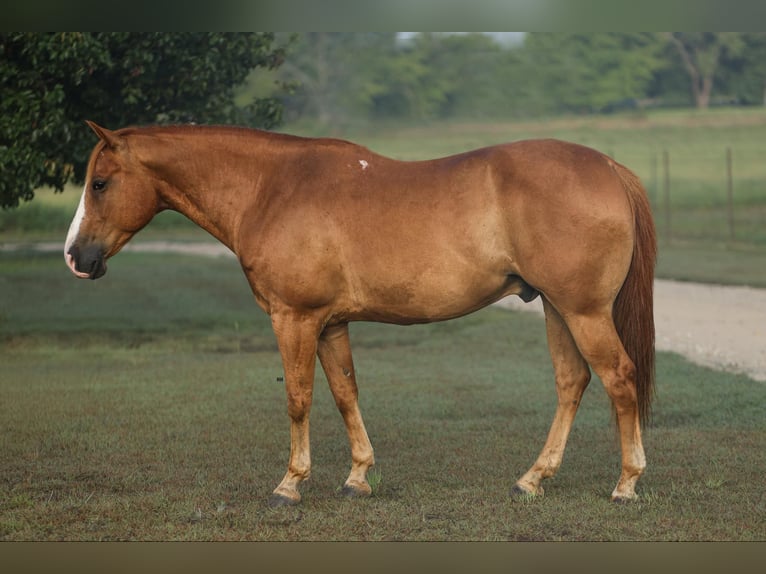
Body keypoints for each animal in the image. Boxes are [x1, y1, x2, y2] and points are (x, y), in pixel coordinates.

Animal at [65, 121, 656, 505]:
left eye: (99, 183)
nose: (76, 257)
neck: (272, 189)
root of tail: (608, 167)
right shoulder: (330, 324)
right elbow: (345, 392)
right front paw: (357, 478)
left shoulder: (295, 318)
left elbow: (298, 398)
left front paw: (290, 484)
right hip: (558, 309)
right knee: (572, 381)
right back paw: (533, 478)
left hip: (583, 311)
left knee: (619, 378)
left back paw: (626, 484)